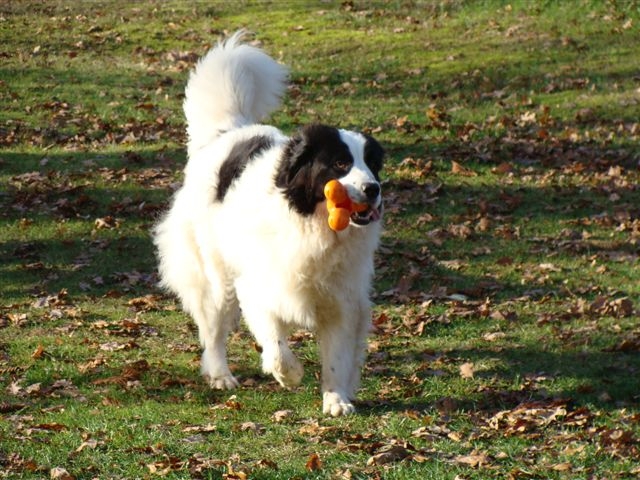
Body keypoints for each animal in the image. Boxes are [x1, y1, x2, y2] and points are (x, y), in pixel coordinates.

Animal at [153, 31, 384, 416]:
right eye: (339, 163)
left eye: (372, 165)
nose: (374, 188)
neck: (313, 226)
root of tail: (229, 131)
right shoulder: (258, 287)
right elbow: (275, 344)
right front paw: (289, 374)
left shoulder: (342, 300)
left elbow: (336, 356)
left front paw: (336, 398)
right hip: (216, 277)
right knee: (213, 329)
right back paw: (220, 374)